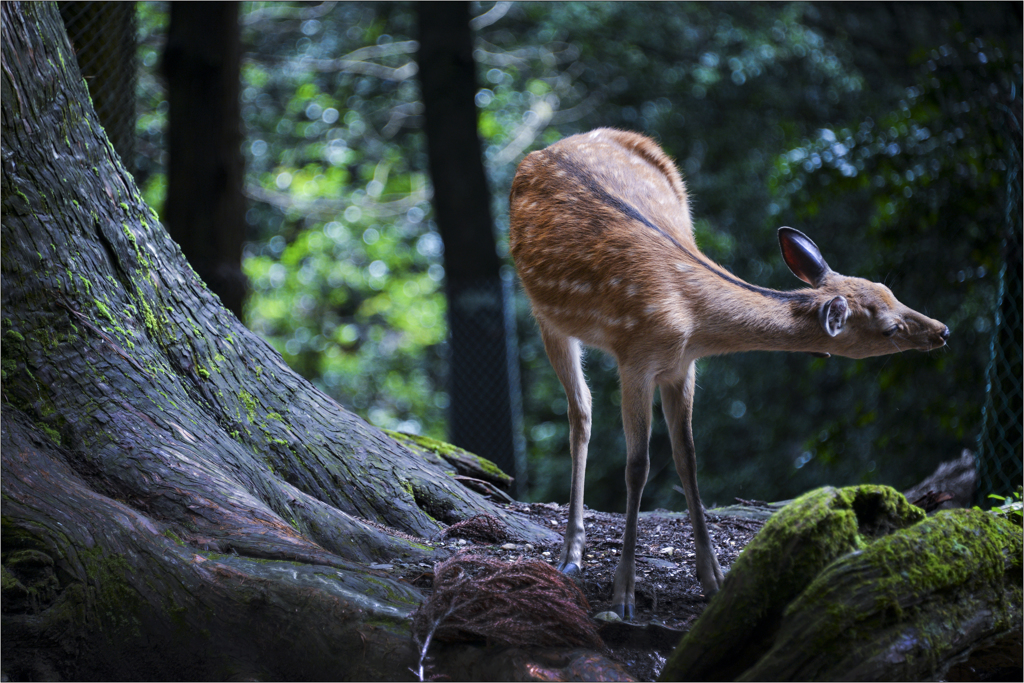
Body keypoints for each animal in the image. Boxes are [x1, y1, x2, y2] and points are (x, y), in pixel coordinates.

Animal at [507, 126, 946, 618]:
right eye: (890, 329)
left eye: (889, 289)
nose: (942, 330)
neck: (691, 321)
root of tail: (547, 148)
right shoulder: (635, 358)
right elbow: (638, 466)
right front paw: (623, 596)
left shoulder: (682, 366)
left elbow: (688, 456)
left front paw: (714, 579)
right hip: (543, 313)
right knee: (580, 413)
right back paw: (570, 555)